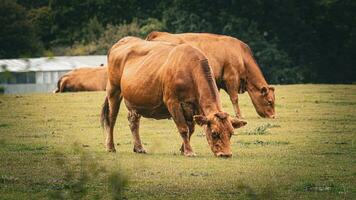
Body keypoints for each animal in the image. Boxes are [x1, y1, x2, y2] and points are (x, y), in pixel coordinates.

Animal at [98, 36, 246, 157]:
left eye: (231, 133)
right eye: (214, 133)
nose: (226, 154)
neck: (190, 71)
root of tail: (122, 41)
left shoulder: (193, 107)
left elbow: (191, 129)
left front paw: (183, 149)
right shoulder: (172, 102)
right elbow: (183, 128)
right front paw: (189, 151)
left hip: (135, 100)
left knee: (133, 121)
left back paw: (139, 148)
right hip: (114, 90)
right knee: (111, 118)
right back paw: (110, 147)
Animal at [146, 31, 276, 119]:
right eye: (270, 101)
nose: (274, 116)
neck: (241, 55)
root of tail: (157, 34)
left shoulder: (216, 81)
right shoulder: (231, 77)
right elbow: (234, 98)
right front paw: (239, 115)